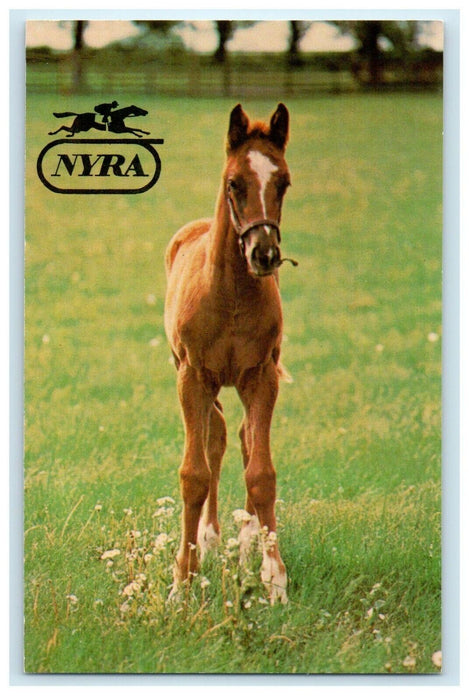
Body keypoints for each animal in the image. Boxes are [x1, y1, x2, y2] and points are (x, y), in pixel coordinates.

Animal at [164, 103, 296, 604]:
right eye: (234, 182)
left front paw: (275, 579)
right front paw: (182, 581)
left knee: (239, 437)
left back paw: (243, 541)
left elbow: (261, 473)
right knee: (216, 438)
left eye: (284, 182)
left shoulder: (261, 375)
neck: (230, 293)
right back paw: (210, 538)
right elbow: (194, 474)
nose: (265, 254)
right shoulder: (193, 376)